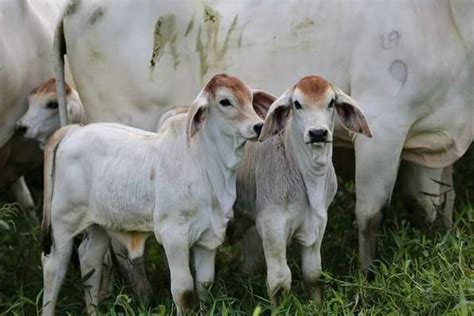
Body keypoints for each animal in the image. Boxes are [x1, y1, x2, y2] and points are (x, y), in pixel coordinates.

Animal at [56, 0, 474, 272]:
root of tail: (75, 6)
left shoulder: (431, 140)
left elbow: (436, 206)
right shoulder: (384, 127)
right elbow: (371, 215)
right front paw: (367, 277)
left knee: (93, 247)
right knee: (118, 244)